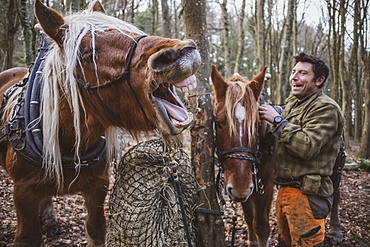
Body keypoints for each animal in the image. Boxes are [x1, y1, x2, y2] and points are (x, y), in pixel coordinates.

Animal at [0, 0, 199, 246]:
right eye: (87, 52)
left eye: (132, 32)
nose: (182, 52)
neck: (69, 144)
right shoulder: (24, 193)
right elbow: (28, 236)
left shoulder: (98, 187)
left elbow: (95, 228)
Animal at [210, 64, 274, 246]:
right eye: (218, 123)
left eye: (257, 124)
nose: (240, 187)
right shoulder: (247, 190)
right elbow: (248, 218)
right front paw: (251, 241)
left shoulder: (265, 186)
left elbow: (261, 226)